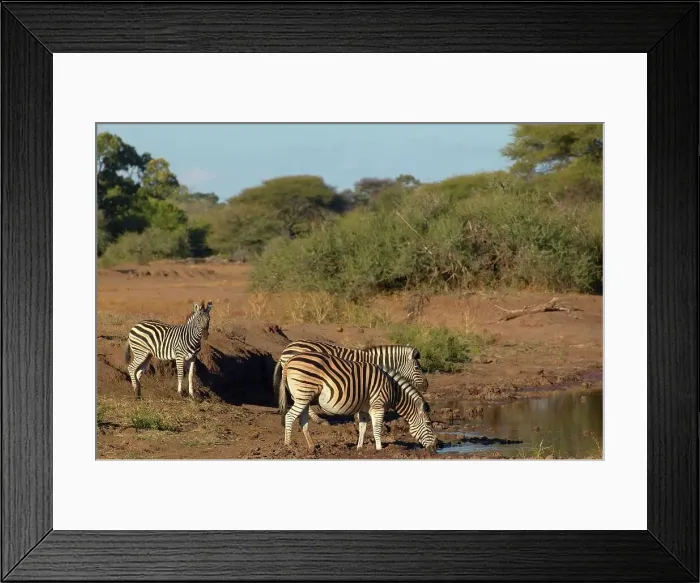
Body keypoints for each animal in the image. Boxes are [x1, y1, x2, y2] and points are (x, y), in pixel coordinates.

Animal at [276, 351, 437, 453]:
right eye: (429, 424)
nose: (437, 447)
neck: (393, 391)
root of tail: (290, 360)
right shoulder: (378, 406)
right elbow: (377, 428)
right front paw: (379, 449)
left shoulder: (364, 409)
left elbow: (363, 428)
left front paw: (359, 447)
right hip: (303, 395)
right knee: (289, 417)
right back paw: (288, 446)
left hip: (304, 398)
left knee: (303, 421)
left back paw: (312, 447)